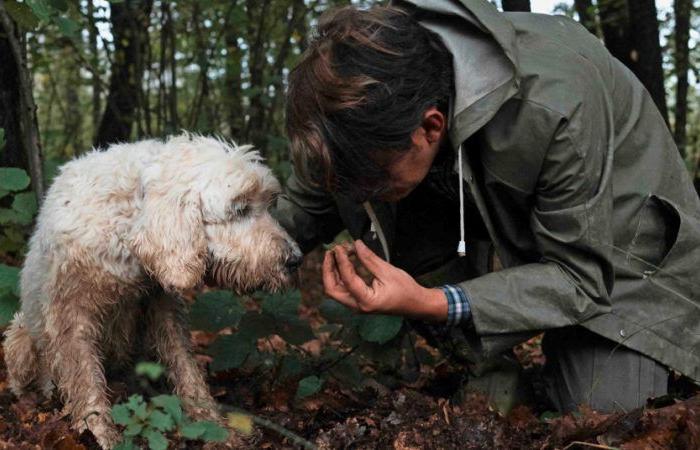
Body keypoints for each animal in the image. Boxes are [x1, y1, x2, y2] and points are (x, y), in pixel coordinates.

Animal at [2, 134, 304, 450]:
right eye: (240, 209)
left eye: (268, 204)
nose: (295, 259)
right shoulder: (71, 318)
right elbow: (86, 379)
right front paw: (101, 433)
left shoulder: (163, 308)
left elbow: (186, 369)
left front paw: (215, 426)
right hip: (19, 336)